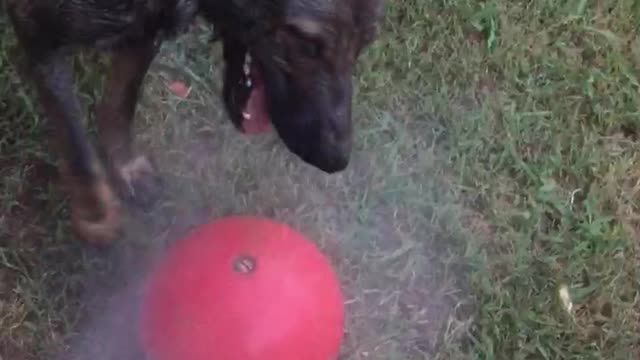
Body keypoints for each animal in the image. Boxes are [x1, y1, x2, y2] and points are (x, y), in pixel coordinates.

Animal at [3, 0, 384, 245]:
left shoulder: (147, 29)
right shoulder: (39, 32)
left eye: (364, 43)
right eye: (307, 43)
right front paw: (96, 219)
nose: (336, 161)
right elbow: (78, 150)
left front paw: (126, 169)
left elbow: (120, 102)